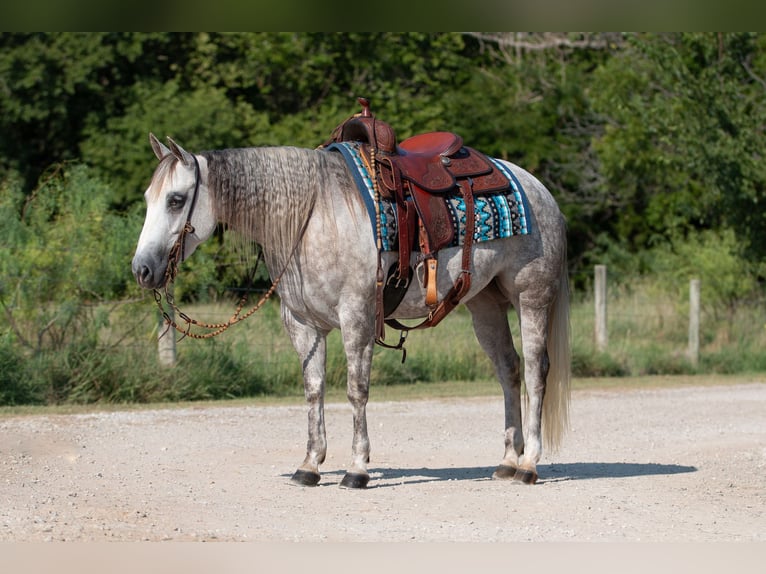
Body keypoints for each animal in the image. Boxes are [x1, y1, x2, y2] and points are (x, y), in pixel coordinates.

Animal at [134, 135, 568, 490]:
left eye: (176, 199)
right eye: (148, 198)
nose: (142, 269)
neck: (312, 217)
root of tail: (538, 189)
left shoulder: (356, 316)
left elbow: (356, 390)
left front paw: (357, 469)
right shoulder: (303, 325)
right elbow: (314, 390)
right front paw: (309, 465)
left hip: (531, 297)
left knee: (535, 369)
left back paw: (529, 465)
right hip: (485, 305)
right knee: (508, 370)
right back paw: (508, 461)